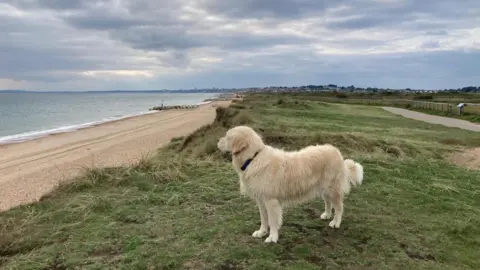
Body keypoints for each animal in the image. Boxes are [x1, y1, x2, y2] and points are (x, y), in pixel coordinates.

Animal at [218, 125, 364, 244]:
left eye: (227, 137)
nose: (218, 141)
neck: (253, 158)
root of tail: (335, 151)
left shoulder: (271, 201)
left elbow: (272, 221)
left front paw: (272, 237)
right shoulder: (261, 200)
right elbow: (264, 219)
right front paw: (261, 232)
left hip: (332, 188)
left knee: (339, 206)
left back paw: (335, 222)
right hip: (323, 188)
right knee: (328, 203)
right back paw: (327, 214)